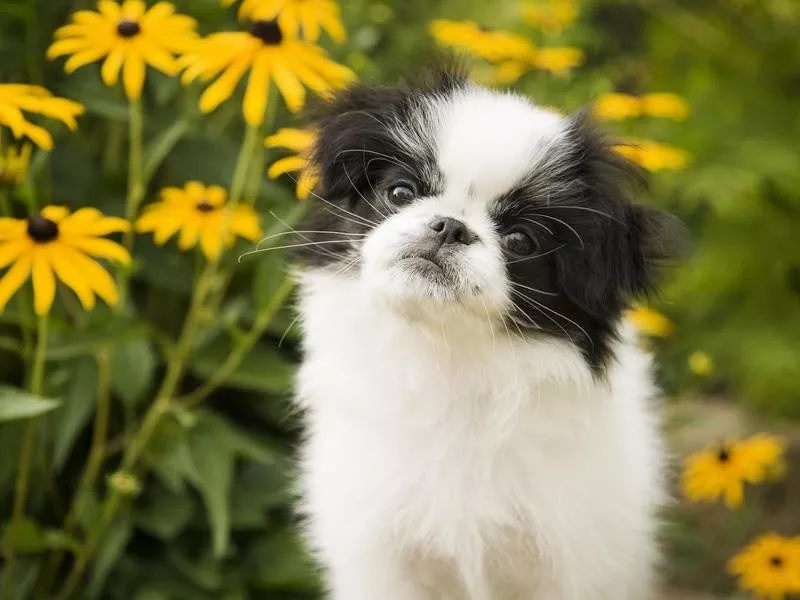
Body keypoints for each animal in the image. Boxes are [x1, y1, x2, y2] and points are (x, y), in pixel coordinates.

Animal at [290, 68, 680, 596]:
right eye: (400, 193)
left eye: (520, 240)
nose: (450, 227)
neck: (449, 358)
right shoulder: (380, 554)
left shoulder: (576, 559)